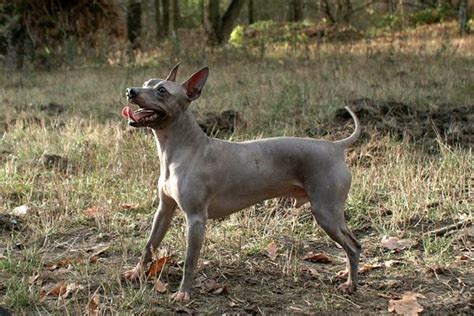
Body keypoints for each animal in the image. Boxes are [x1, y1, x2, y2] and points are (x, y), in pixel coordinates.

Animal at [122, 63, 362, 302]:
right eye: (146, 83)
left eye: (162, 91)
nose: (130, 91)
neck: (180, 150)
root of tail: (335, 146)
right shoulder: (164, 210)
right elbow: (149, 245)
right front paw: (136, 273)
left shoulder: (196, 219)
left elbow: (190, 260)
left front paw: (183, 293)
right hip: (330, 214)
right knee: (350, 243)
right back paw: (345, 273)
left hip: (325, 212)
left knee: (354, 246)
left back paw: (351, 284)